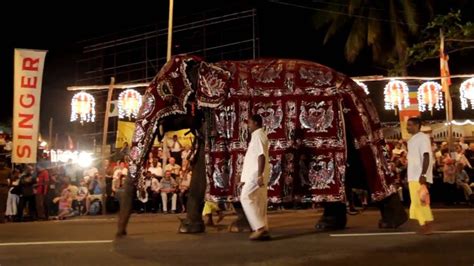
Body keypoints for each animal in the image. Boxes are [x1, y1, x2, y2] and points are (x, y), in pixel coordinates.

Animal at [115, 54, 408, 237]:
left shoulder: (229, 117)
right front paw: (188, 230)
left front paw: (239, 228)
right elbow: (201, 172)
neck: (208, 65)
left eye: (165, 92)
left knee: (368, 167)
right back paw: (329, 225)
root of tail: (357, 88)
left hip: (356, 118)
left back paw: (390, 224)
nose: (121, 234)